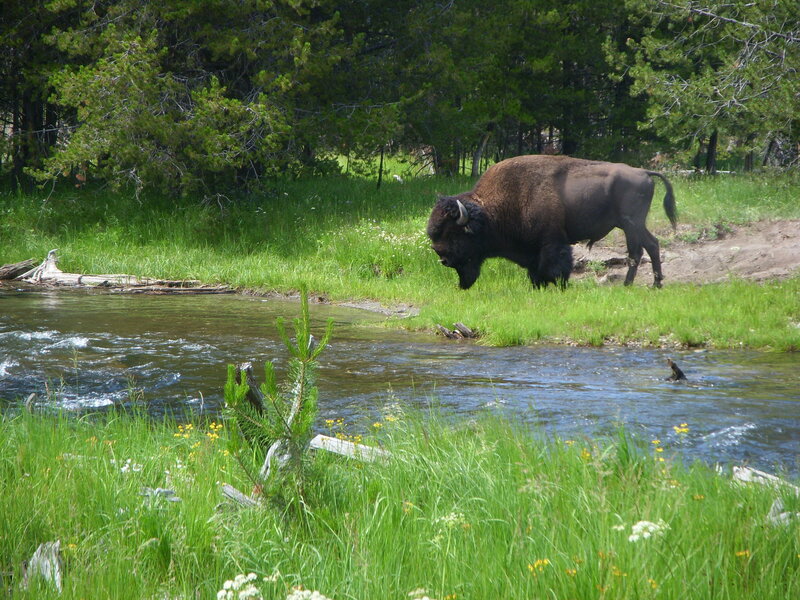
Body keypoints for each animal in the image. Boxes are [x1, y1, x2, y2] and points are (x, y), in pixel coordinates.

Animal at [427, 155, 676, 289]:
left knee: (641, 249)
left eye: (453, 233)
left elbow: (555, 265)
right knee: (649, 246)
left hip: (632, 224)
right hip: (631, 225)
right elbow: (535, 270)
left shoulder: (552, 242)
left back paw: (638, 285)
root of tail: (644, 172)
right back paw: (650, 285)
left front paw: (558, 285)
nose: (442, 257)